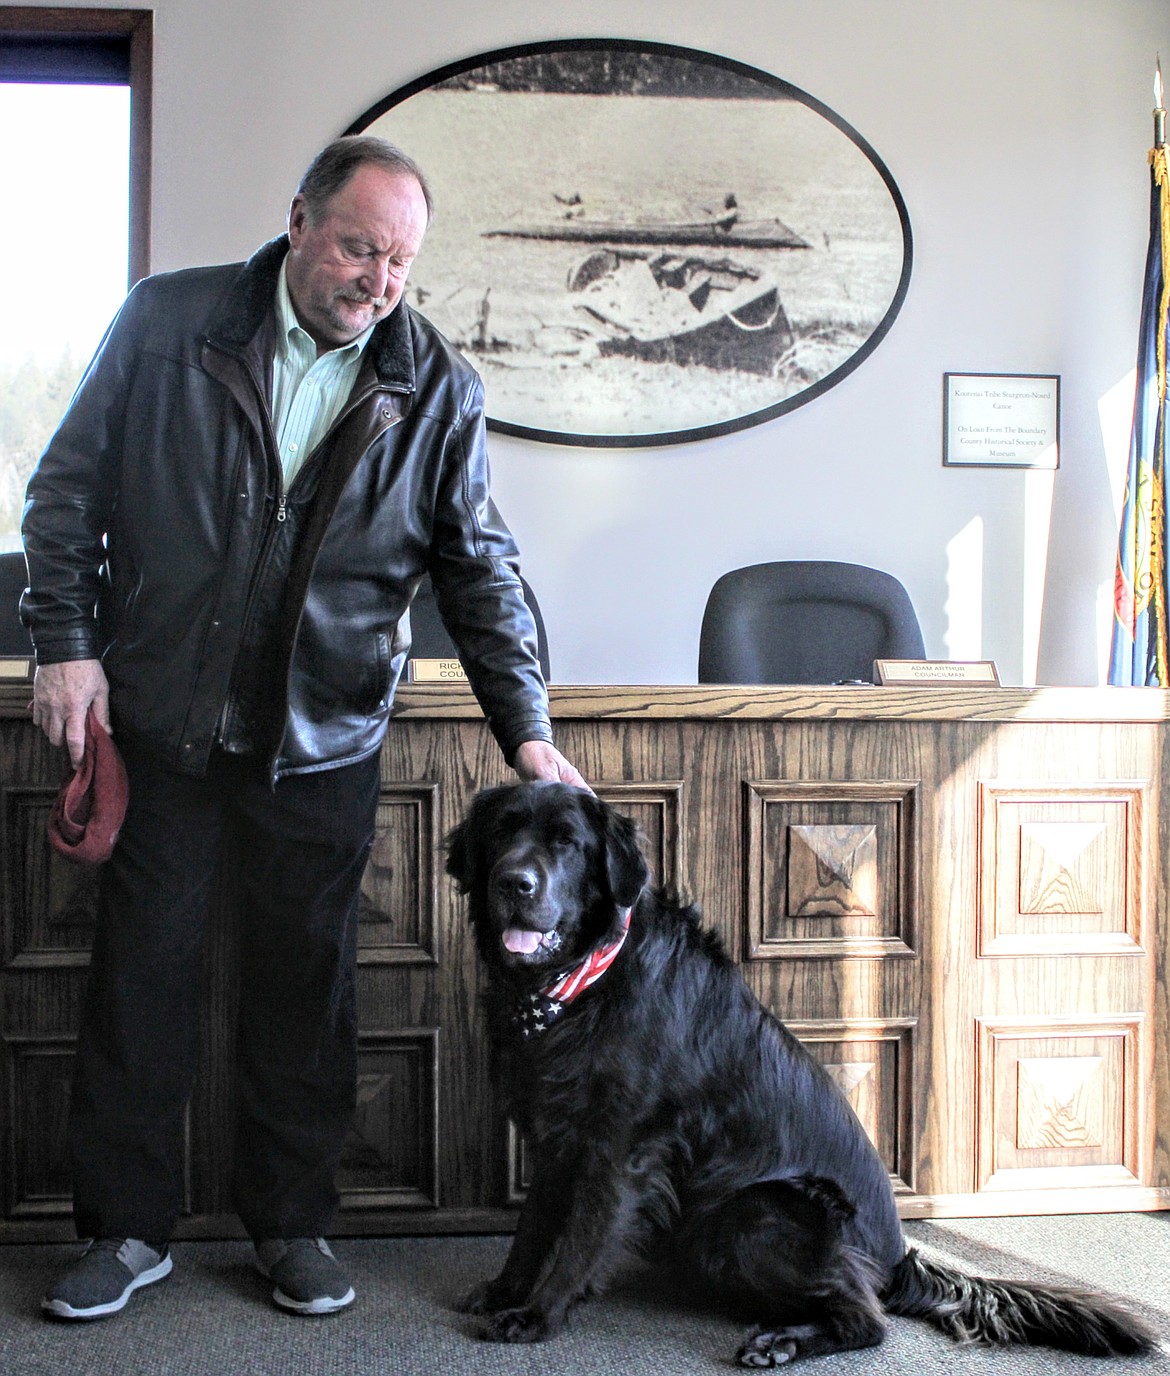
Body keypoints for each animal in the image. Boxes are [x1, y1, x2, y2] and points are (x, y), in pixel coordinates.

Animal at [443, 787, 1150, 1364]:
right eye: (503, 832)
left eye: (568, 843)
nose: (514, 882)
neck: (583, 983)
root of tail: (897, 1261)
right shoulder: (553, 1132)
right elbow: (533, 1227)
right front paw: (506, 1290)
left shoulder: (622, 1146)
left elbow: (579, 1238)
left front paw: (537, 1314)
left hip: (755, 1211)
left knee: (867, 1318)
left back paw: (780, 1343)